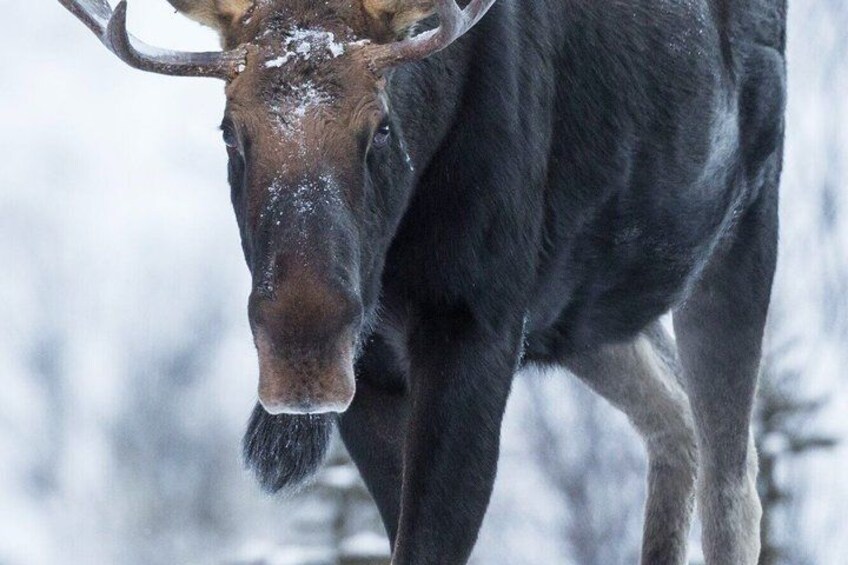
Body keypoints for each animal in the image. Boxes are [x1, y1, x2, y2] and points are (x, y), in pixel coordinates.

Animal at [58, 1, 787, 563]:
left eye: (381, 127)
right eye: (230, 132)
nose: (301, 357)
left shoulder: (477, 324)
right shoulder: (373, 366)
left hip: (744, 227)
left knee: (734, 484)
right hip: (590, 314)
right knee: (675, 422)